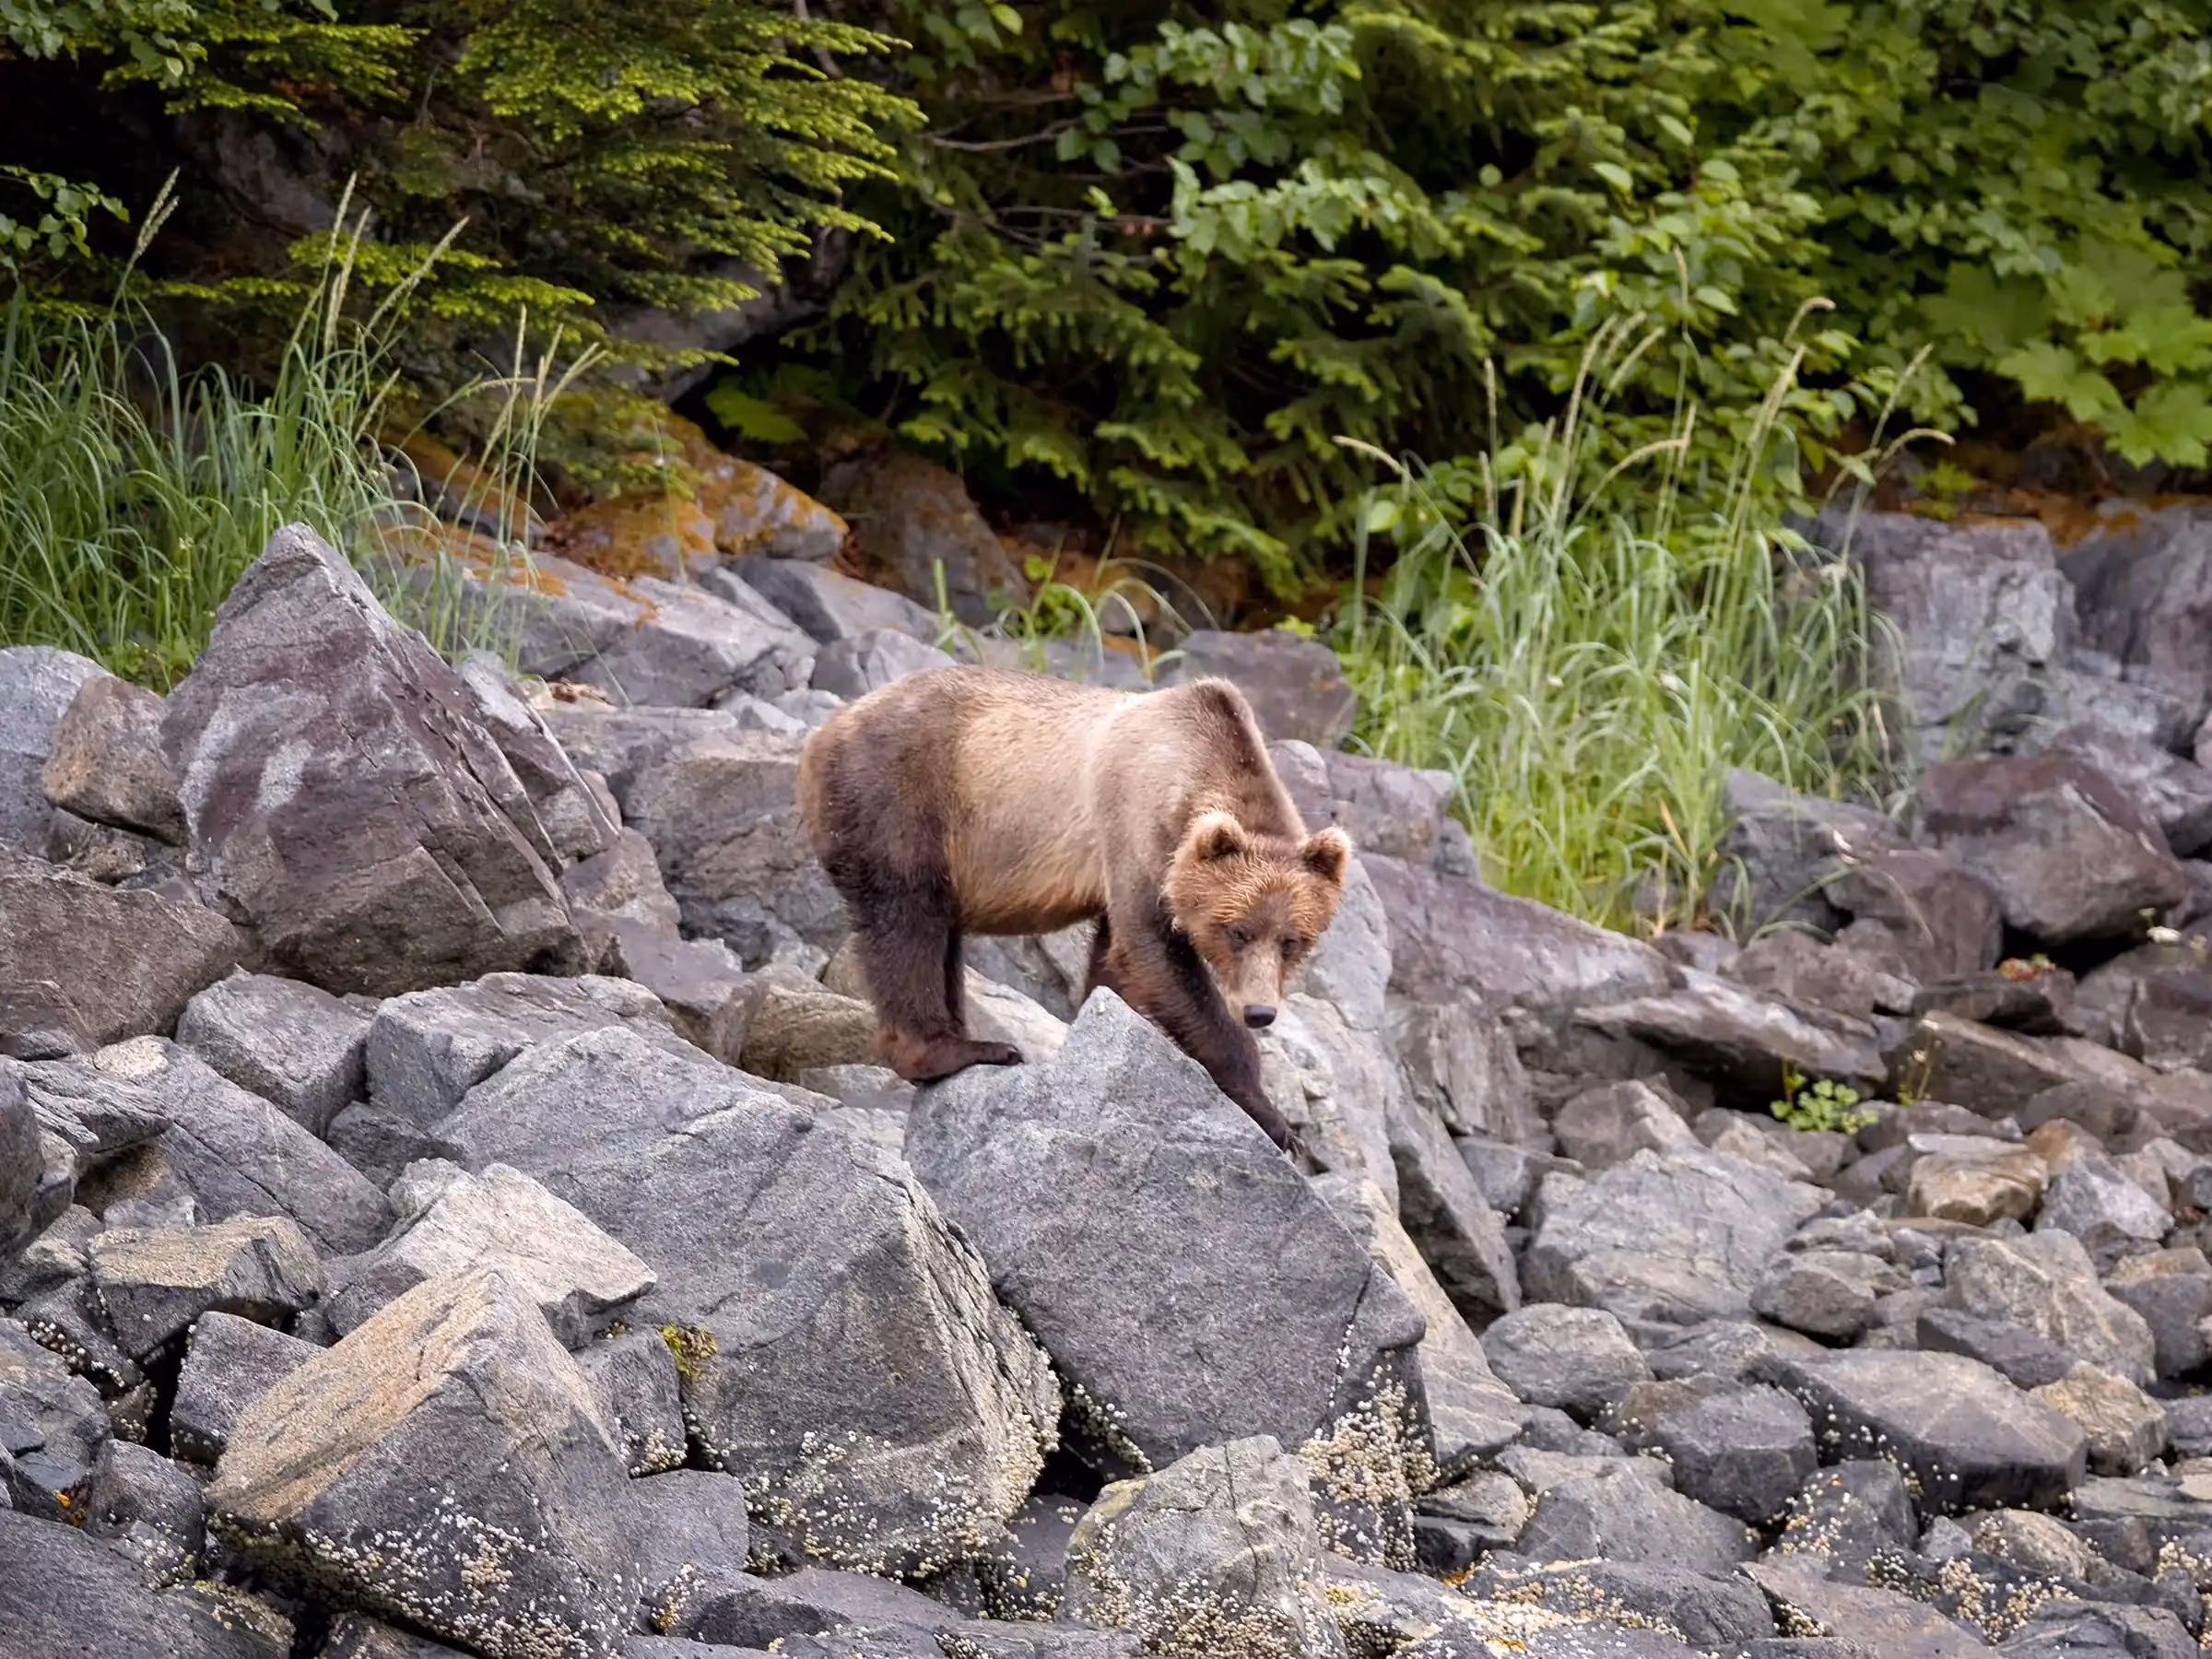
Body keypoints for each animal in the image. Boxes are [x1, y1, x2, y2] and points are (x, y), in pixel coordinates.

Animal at [796, 664, 1353, 1151]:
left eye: (1293, 941)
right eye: (1236, 931)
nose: (1260, 1011)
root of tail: (826, 731)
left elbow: (1114, 961)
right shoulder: (1134, 831)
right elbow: (1155, 952)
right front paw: (1275, 1119)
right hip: (902, 800)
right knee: (906, 919)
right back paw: (964, 1049)